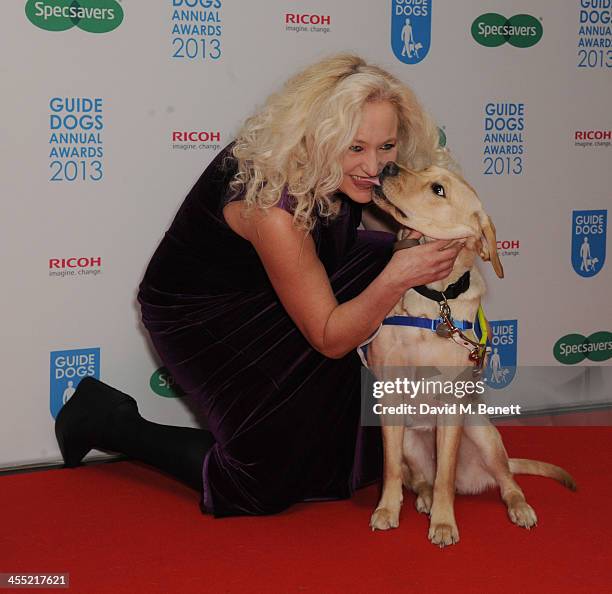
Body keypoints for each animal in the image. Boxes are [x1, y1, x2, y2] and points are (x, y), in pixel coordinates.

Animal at [366, 162, 576, 544]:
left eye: (438, 189)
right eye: (423, 168)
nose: (387, 165)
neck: (435, 299)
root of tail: (473, 479)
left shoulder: (452, 403)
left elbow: (445, 476)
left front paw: (443, 523)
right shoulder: (390, 396)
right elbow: (390, 469)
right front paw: (387, 509)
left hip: (482, 432)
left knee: (507, 482)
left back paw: (518, 508)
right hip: (410, 440)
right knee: (421, 478)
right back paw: (423, 498)